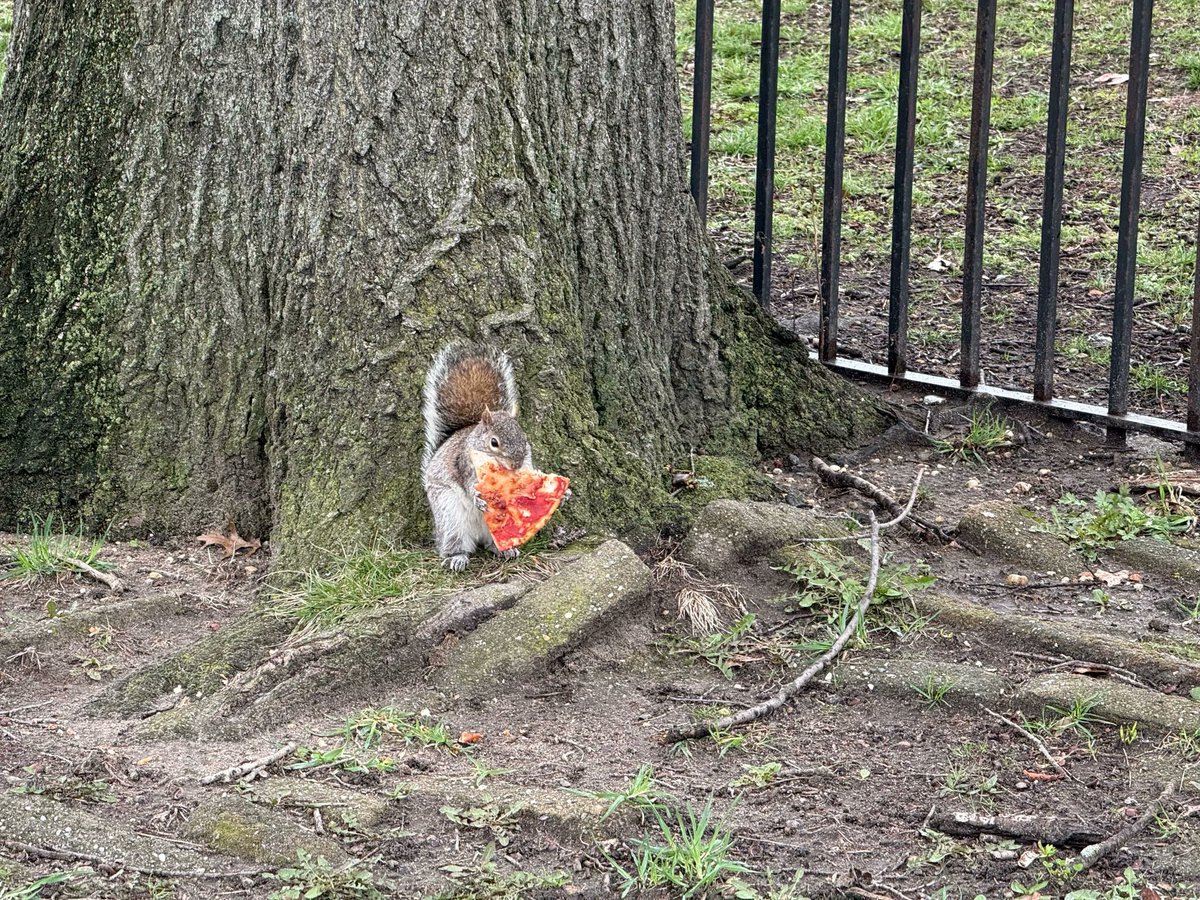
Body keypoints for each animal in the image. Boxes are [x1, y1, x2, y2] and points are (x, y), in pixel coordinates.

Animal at [421, 342, 539, 571]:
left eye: (524, 437)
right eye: (494, 442)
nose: (516, 463)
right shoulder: (465, 465)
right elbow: (469, 486)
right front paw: (478, 498)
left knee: (492, 543)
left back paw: (505, 549)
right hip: (449, 515)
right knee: (454, 543)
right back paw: (456, 558)